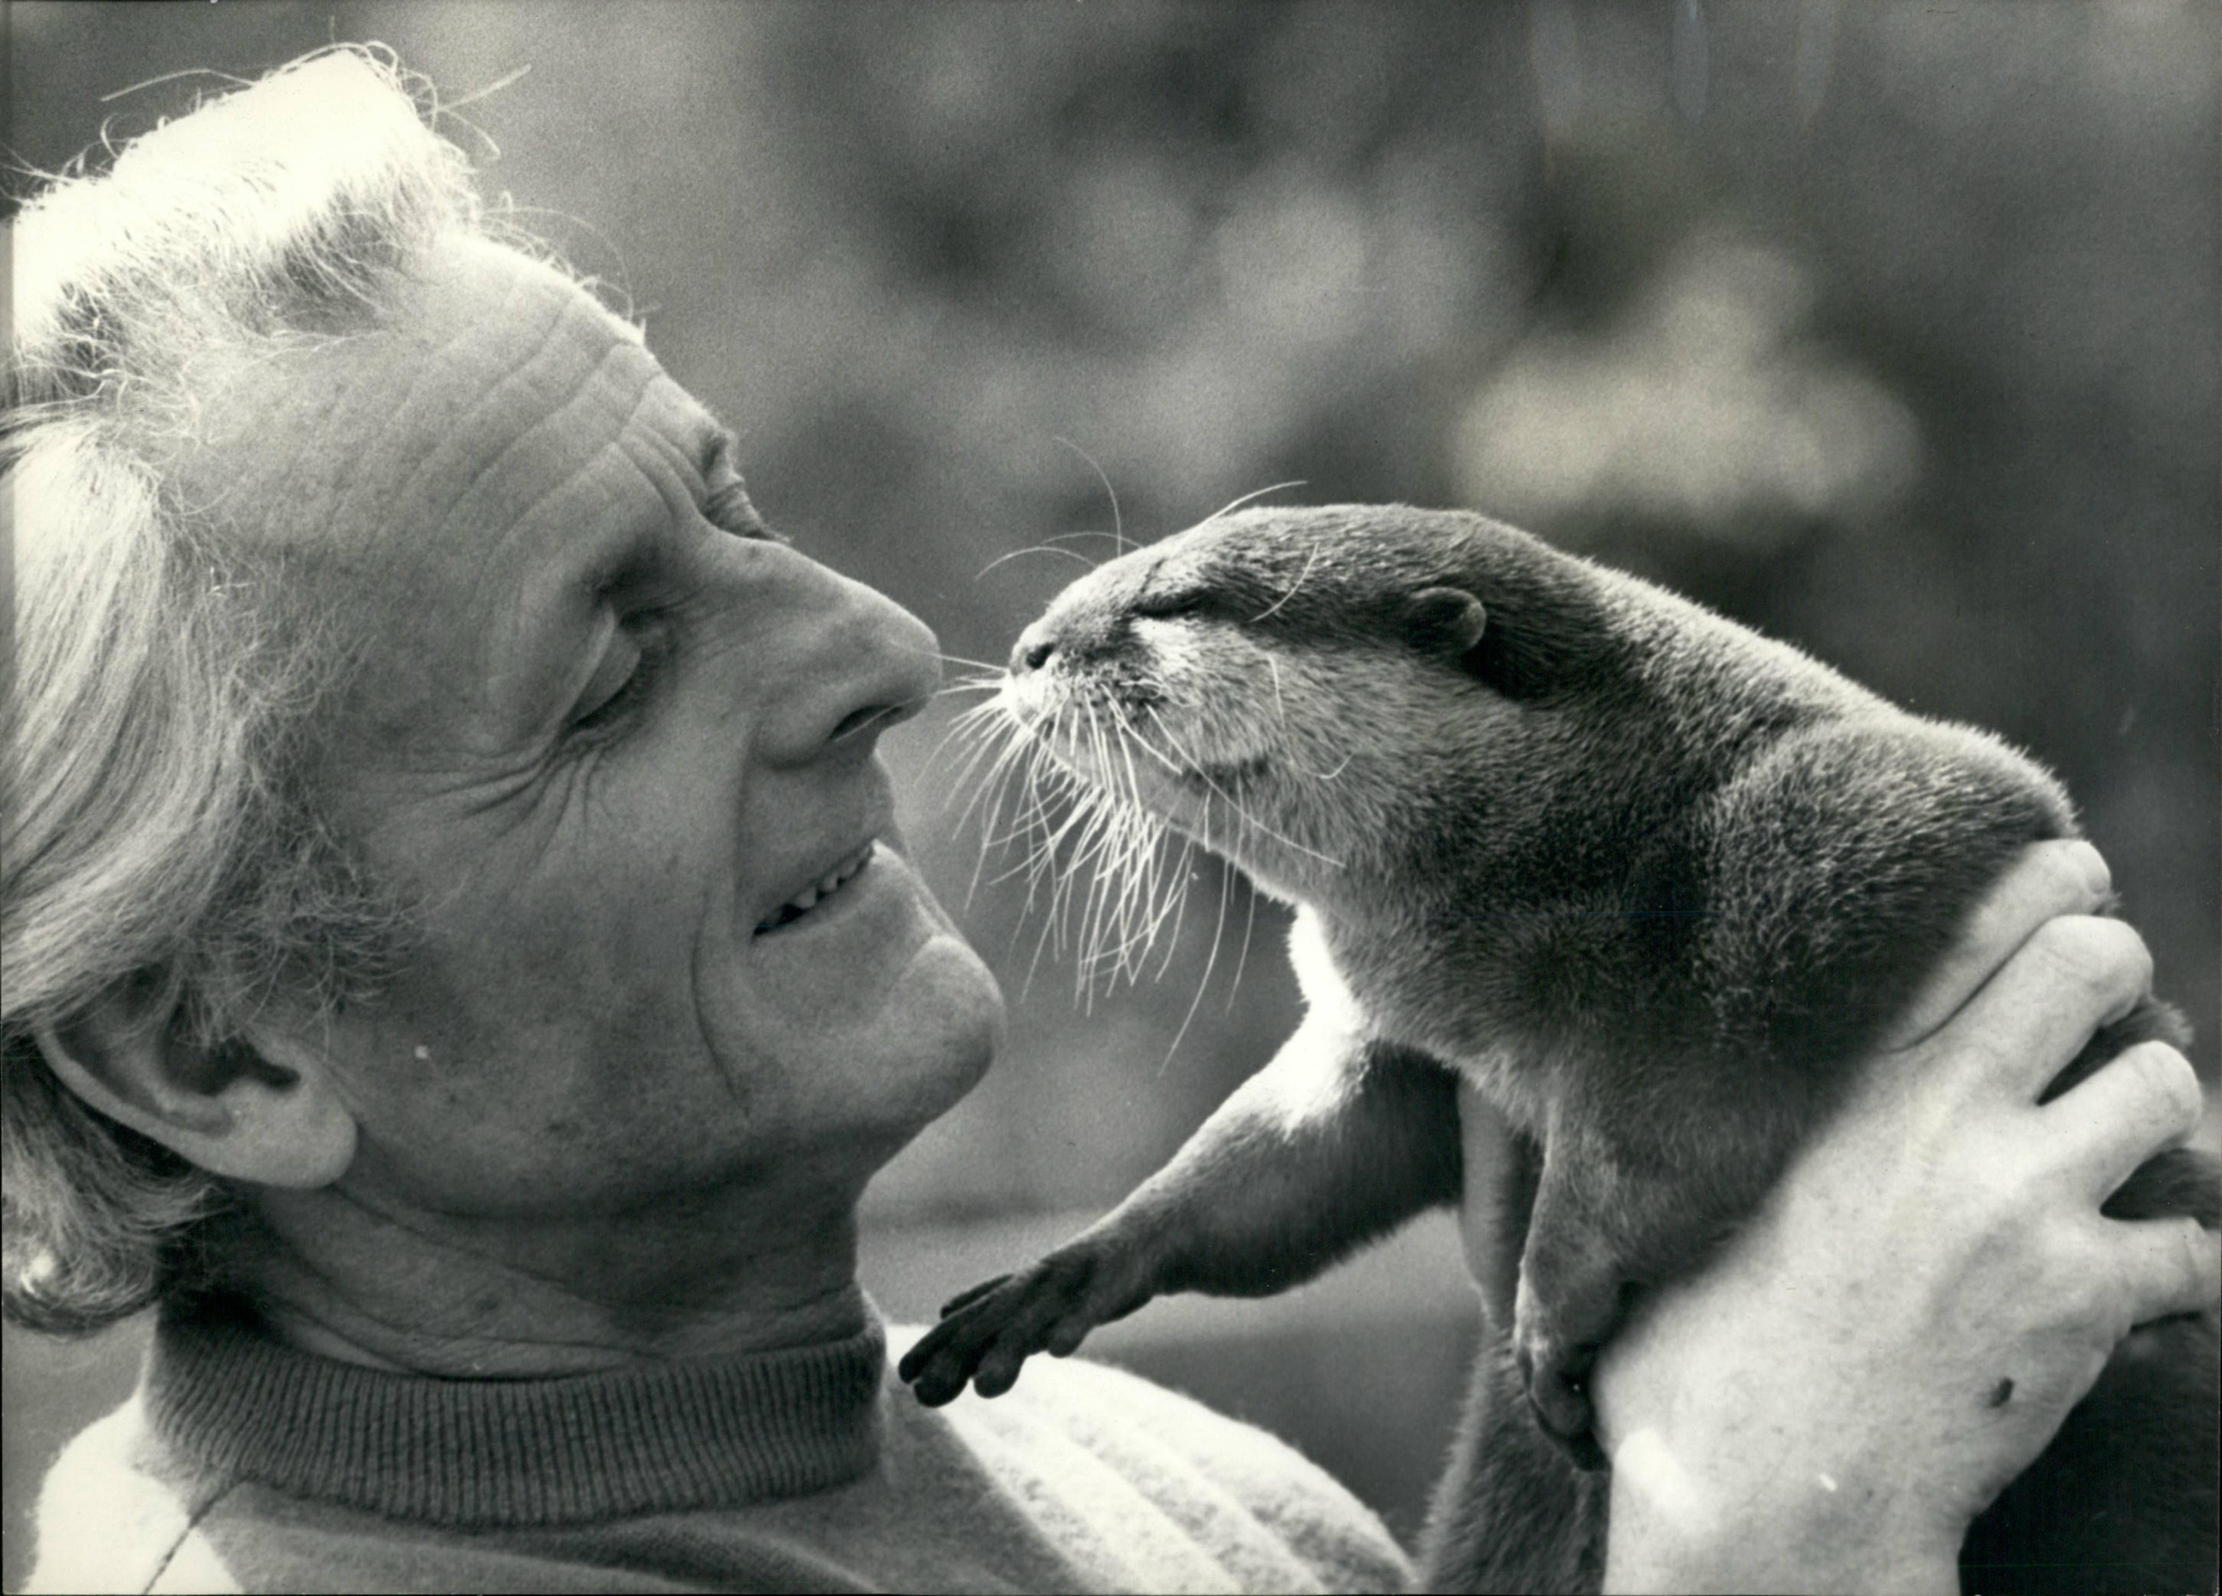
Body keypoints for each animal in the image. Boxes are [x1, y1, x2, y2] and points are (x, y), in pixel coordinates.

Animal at [897, 506, 2222, 1591]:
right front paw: (1067, 1269)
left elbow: (1664, 1108)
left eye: (1171, 600)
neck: (1573, 840)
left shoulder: (1842, 824)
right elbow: (1287, 1165)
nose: (1027, 647)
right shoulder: (1400, 1041)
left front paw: (1552, 1298)